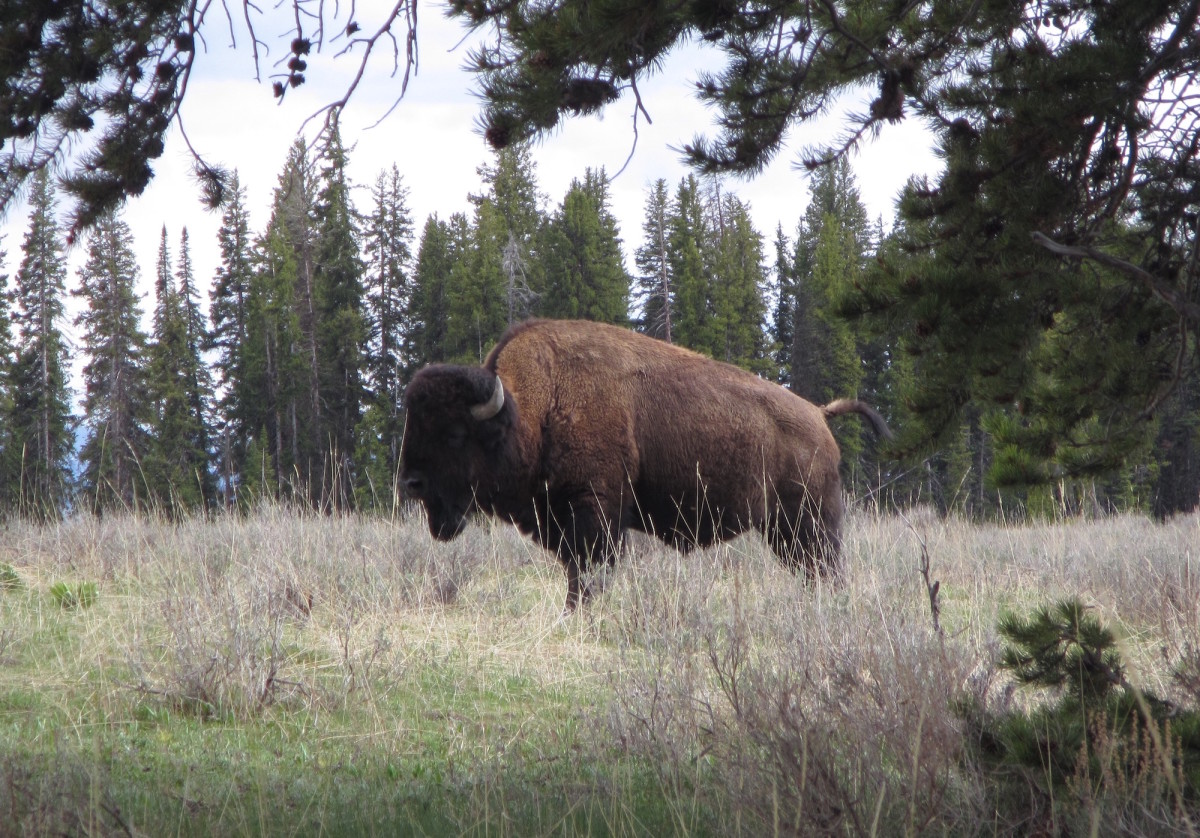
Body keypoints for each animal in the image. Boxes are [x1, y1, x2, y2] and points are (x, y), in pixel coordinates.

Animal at [403, 316, 892, 609]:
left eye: (453, 433)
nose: (411, 482)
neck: (534, 409)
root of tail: (819, 415)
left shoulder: (595, 514)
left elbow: (588, 574)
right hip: (785, 532)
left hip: (808, 526)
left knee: (825, 571)